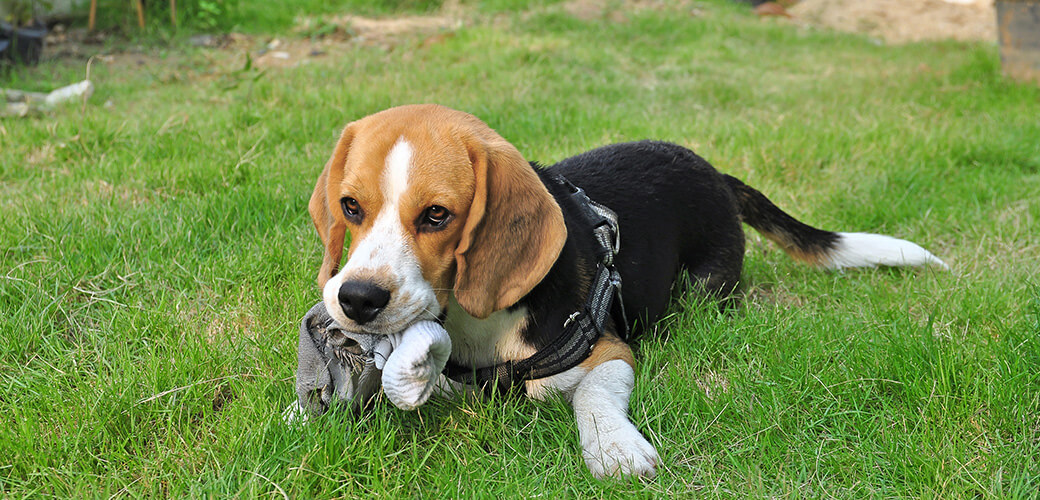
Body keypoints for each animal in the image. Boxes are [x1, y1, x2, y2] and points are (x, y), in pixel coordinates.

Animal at [305, 103, 944, 478]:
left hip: (706, 290)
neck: (474, 321)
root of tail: (713, 172)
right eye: (350, 207)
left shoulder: (609, 350)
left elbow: (593, 394)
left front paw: (615, 449)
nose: (356, 299)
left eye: (437, 216)